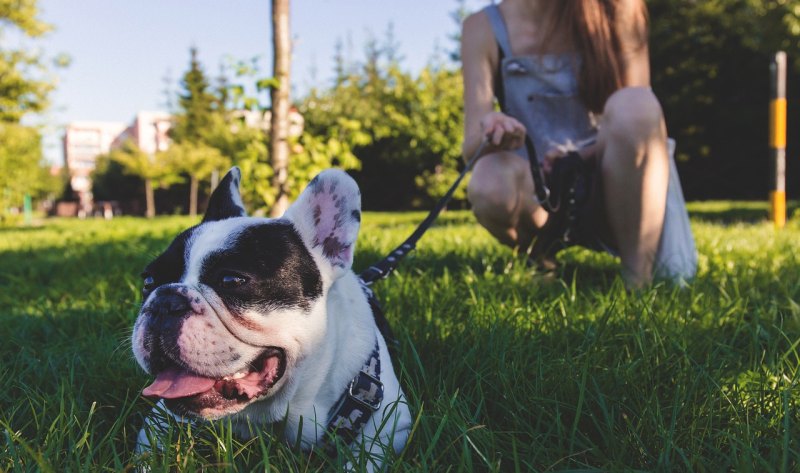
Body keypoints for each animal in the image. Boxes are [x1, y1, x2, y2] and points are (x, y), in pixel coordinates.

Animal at [132, 168, 412, 466]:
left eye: (231, 280)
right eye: (148, 281)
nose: (165, 301)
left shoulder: (392, 429)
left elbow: (365, 459)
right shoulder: (160, 417)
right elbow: (146, 449)